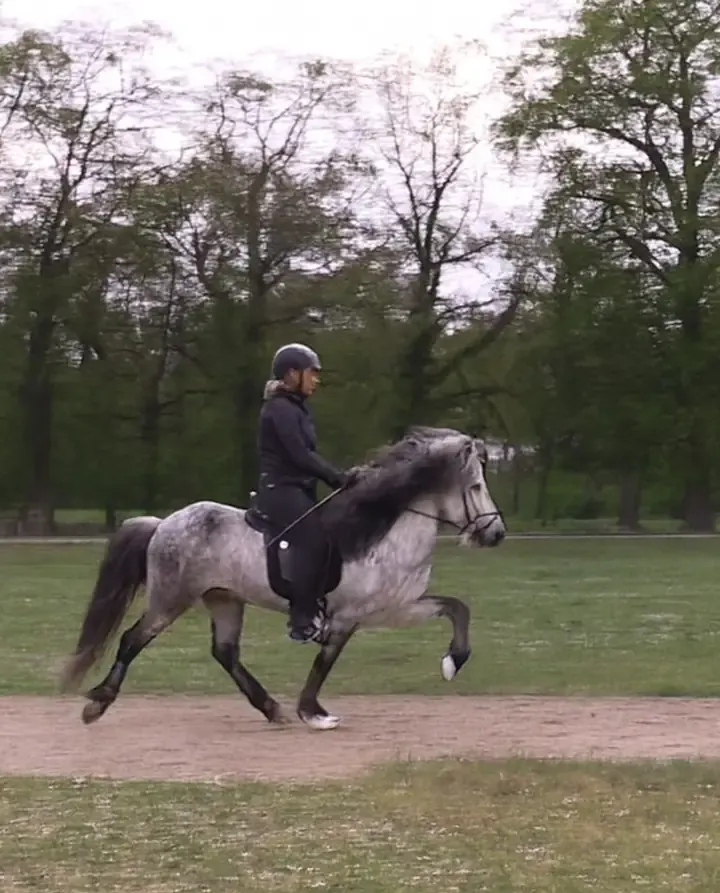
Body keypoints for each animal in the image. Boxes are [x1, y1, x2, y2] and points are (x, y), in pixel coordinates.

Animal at [60, 426, 506, 731]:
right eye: (475, 486)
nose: (497, 534)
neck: (381, 530)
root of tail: (163, 524)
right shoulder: (349, 616)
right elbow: (324, 663)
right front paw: (312, 712)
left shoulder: (397, 607)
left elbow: (457, 608)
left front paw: (453, 661)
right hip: (170, 600)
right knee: (132, 640)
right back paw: (97, 703)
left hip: (224, 599)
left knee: (225, 652)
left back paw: (270, 708)